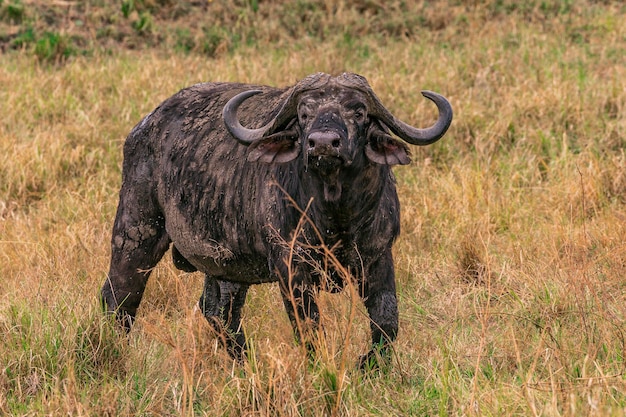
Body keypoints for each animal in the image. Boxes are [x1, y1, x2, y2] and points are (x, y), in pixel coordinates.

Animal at [103, 72, 454, 368]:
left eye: (358, 113)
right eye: (304, 114)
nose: (322, 143)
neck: (335, 215)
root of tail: (145, 126)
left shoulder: (378, 256)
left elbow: (387, 320)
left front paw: (368, 366)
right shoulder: (291, 267)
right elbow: (309, 327)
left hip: (227, 265)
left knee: (218, 312)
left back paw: (247, 363)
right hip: (137, 228)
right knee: (119, 297)